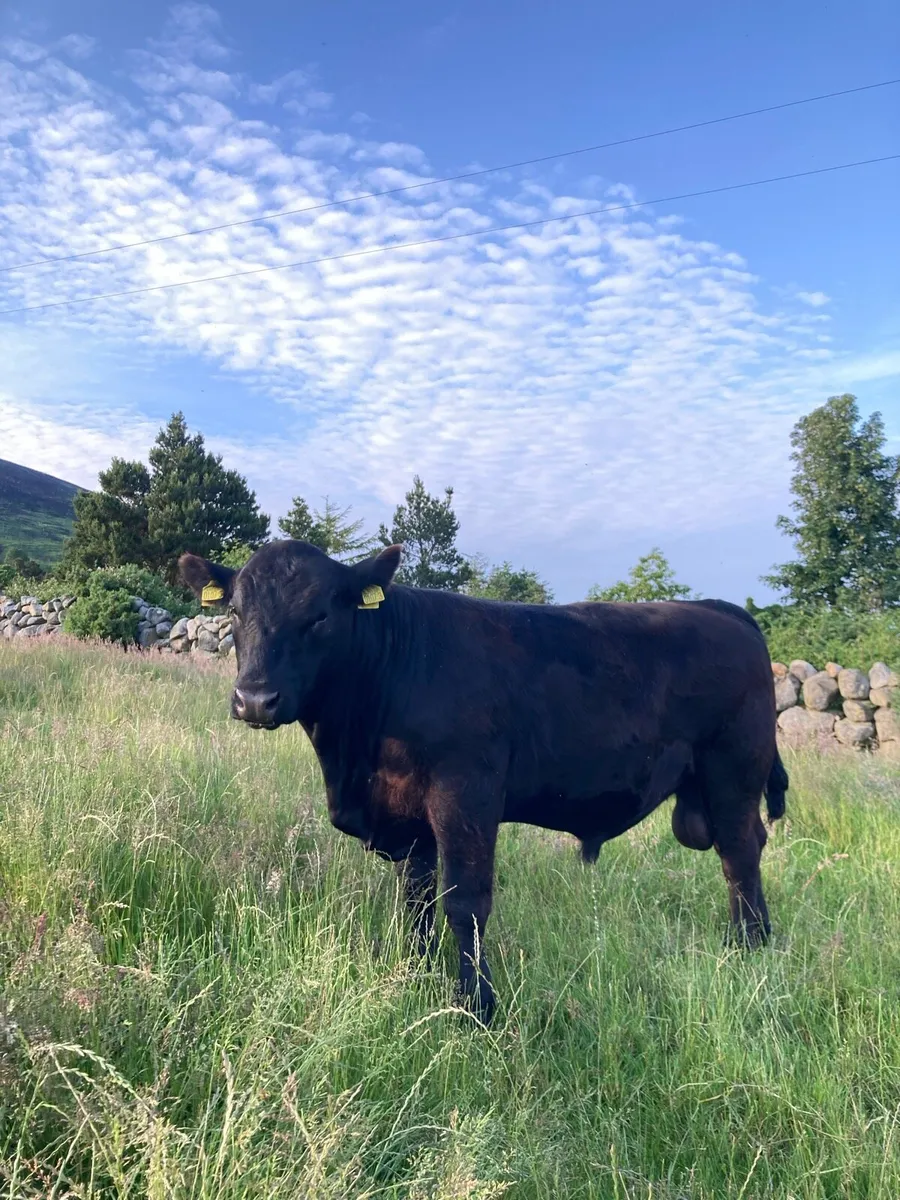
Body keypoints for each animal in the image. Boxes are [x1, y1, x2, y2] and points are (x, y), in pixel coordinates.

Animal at [180, 540, 788, 1025]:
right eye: (235, 611)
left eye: (321, 616)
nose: (255, 699)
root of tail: (723, 610)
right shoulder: (409, 816)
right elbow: (417, 900)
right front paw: (416, 974)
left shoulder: (465, 791)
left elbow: (464, 902)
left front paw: (476, 1006)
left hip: (734, 768)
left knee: (740, 854)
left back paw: (749, 947)